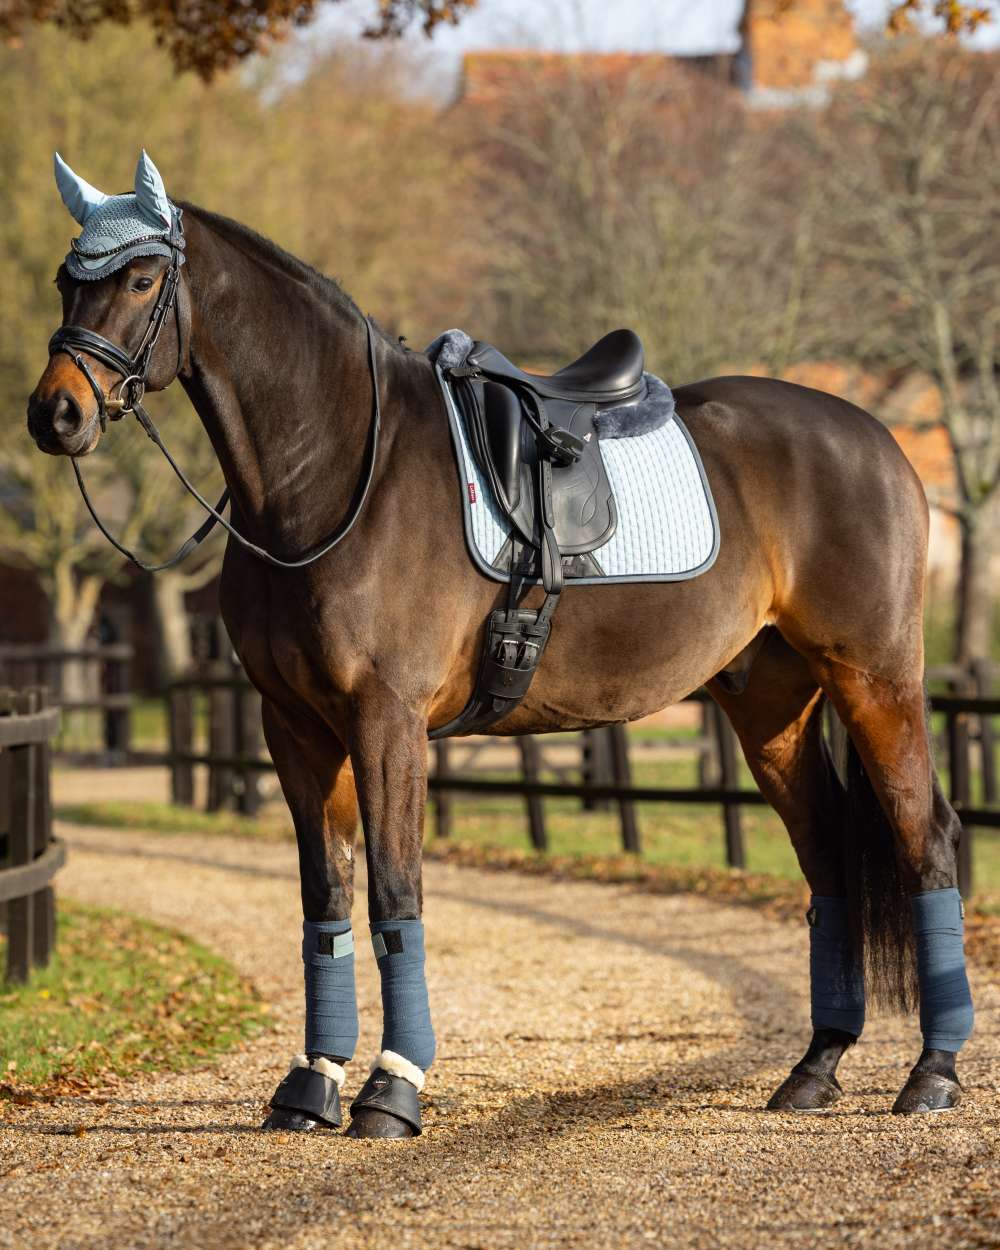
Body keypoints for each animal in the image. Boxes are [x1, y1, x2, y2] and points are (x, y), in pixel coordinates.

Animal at [25, 153, 975, 1135]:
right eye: (67, 279)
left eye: (142, 279)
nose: (55, 414)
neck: (334, 475)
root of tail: (878, 440)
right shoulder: (294, 727)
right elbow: (326, 897)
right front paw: (311, 1084)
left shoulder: (386, 722)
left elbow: (394, 891)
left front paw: (392, 1088)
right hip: (772, 703)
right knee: (827, 855)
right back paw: (816, 1067)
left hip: (875, 679)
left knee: (925, 837)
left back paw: (932, 1074)